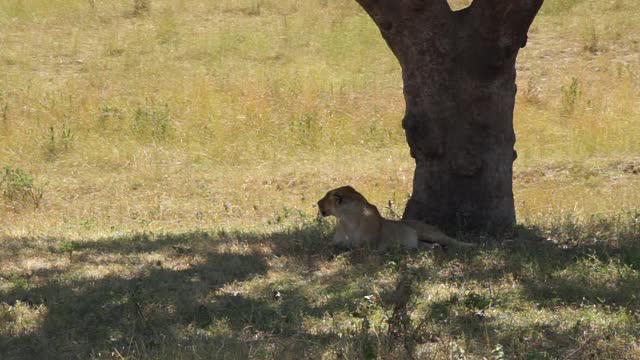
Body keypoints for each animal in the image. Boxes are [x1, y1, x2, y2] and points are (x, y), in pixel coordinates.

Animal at [316, 187, 476, 252]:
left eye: (325, 198)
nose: (317, 202)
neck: (345, 219)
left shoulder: (368, 246)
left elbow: (351, 248)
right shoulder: (335, 241)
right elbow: (329, 246)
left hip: (429, 233)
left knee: (451, 240)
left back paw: (470, 246)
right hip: (419, 242)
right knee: (428, 245)